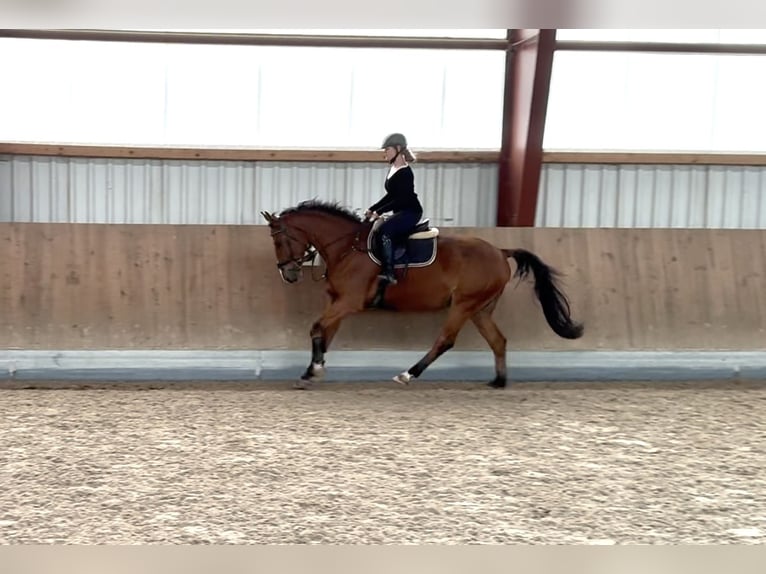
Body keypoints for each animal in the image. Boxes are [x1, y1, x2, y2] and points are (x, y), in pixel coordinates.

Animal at [260, 199, 583, 389]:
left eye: (279, 241)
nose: (289, 274)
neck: (346, 247)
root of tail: (500, 251)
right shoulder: (337, 302)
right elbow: (325, 334)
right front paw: (313, 369)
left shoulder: (348, 302)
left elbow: (316, 328)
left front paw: (313, 369)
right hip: (480, 308)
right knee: (498, 341)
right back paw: (498, 382)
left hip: (463, 305)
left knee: (446, 340)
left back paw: (408, 374)